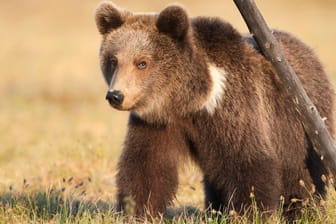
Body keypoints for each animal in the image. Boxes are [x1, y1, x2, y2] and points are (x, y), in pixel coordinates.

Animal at [94, 0, 334, 217]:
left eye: (142, 63)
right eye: (113, 60)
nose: (116, 95)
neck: (191, 102)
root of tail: (307, 50)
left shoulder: (234, 110)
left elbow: (248, 163)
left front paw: (250, 212)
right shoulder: (157, 123)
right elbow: (146, 166)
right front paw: (136, 211)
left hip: (299, 125)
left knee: (303, 174)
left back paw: (303, 210)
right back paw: (216, 209)